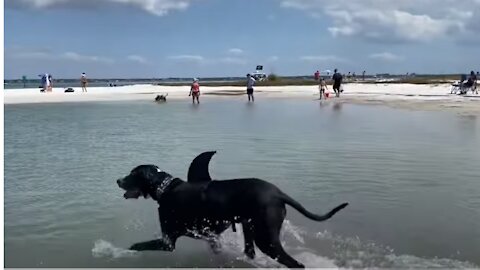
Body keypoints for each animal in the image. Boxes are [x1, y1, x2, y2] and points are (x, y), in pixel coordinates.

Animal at [117, 151, 348, 268]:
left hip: (266, 239)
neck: (166, 188)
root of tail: (278, 193)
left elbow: (137, 245)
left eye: (132, 174)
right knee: (250, 252)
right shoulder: (211, 237)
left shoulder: (167, 242)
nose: (118, 180)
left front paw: (120, 251)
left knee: (295, 264)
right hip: (251, 228)